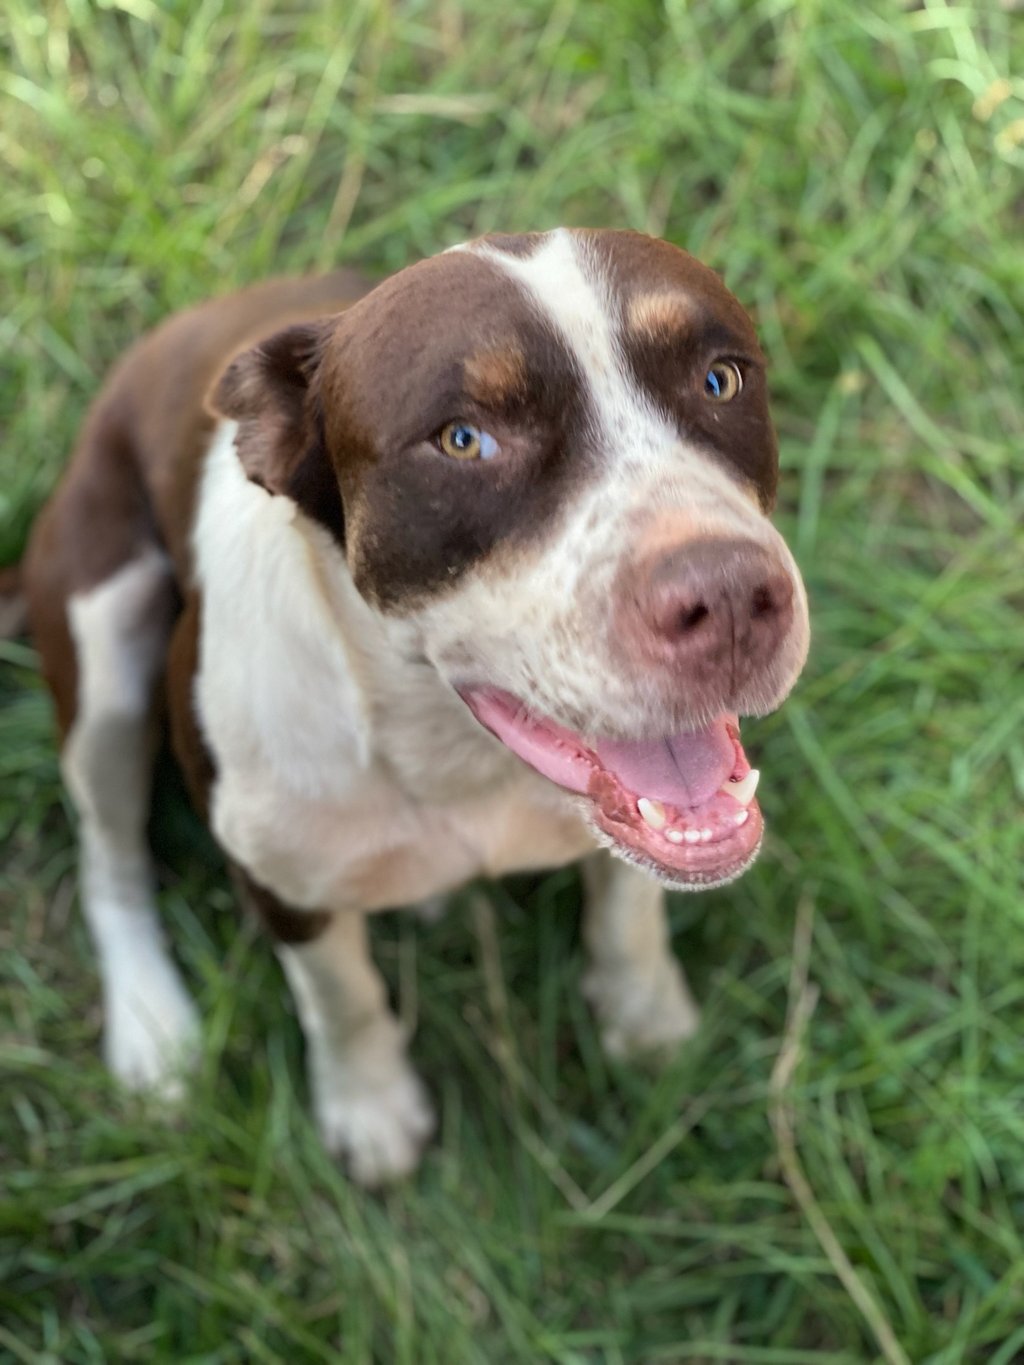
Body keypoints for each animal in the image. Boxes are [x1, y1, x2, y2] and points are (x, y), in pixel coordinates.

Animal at [24, 228, 809, 1185]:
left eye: (720, 380)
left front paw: (646, 1018)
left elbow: (629, 912)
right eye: (464, 440)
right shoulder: (283, 881)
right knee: (110, 857)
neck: (450, 752)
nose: (730, 596)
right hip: (101, 645)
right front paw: (371, 1108)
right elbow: (342, 994)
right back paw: (151, 1028)